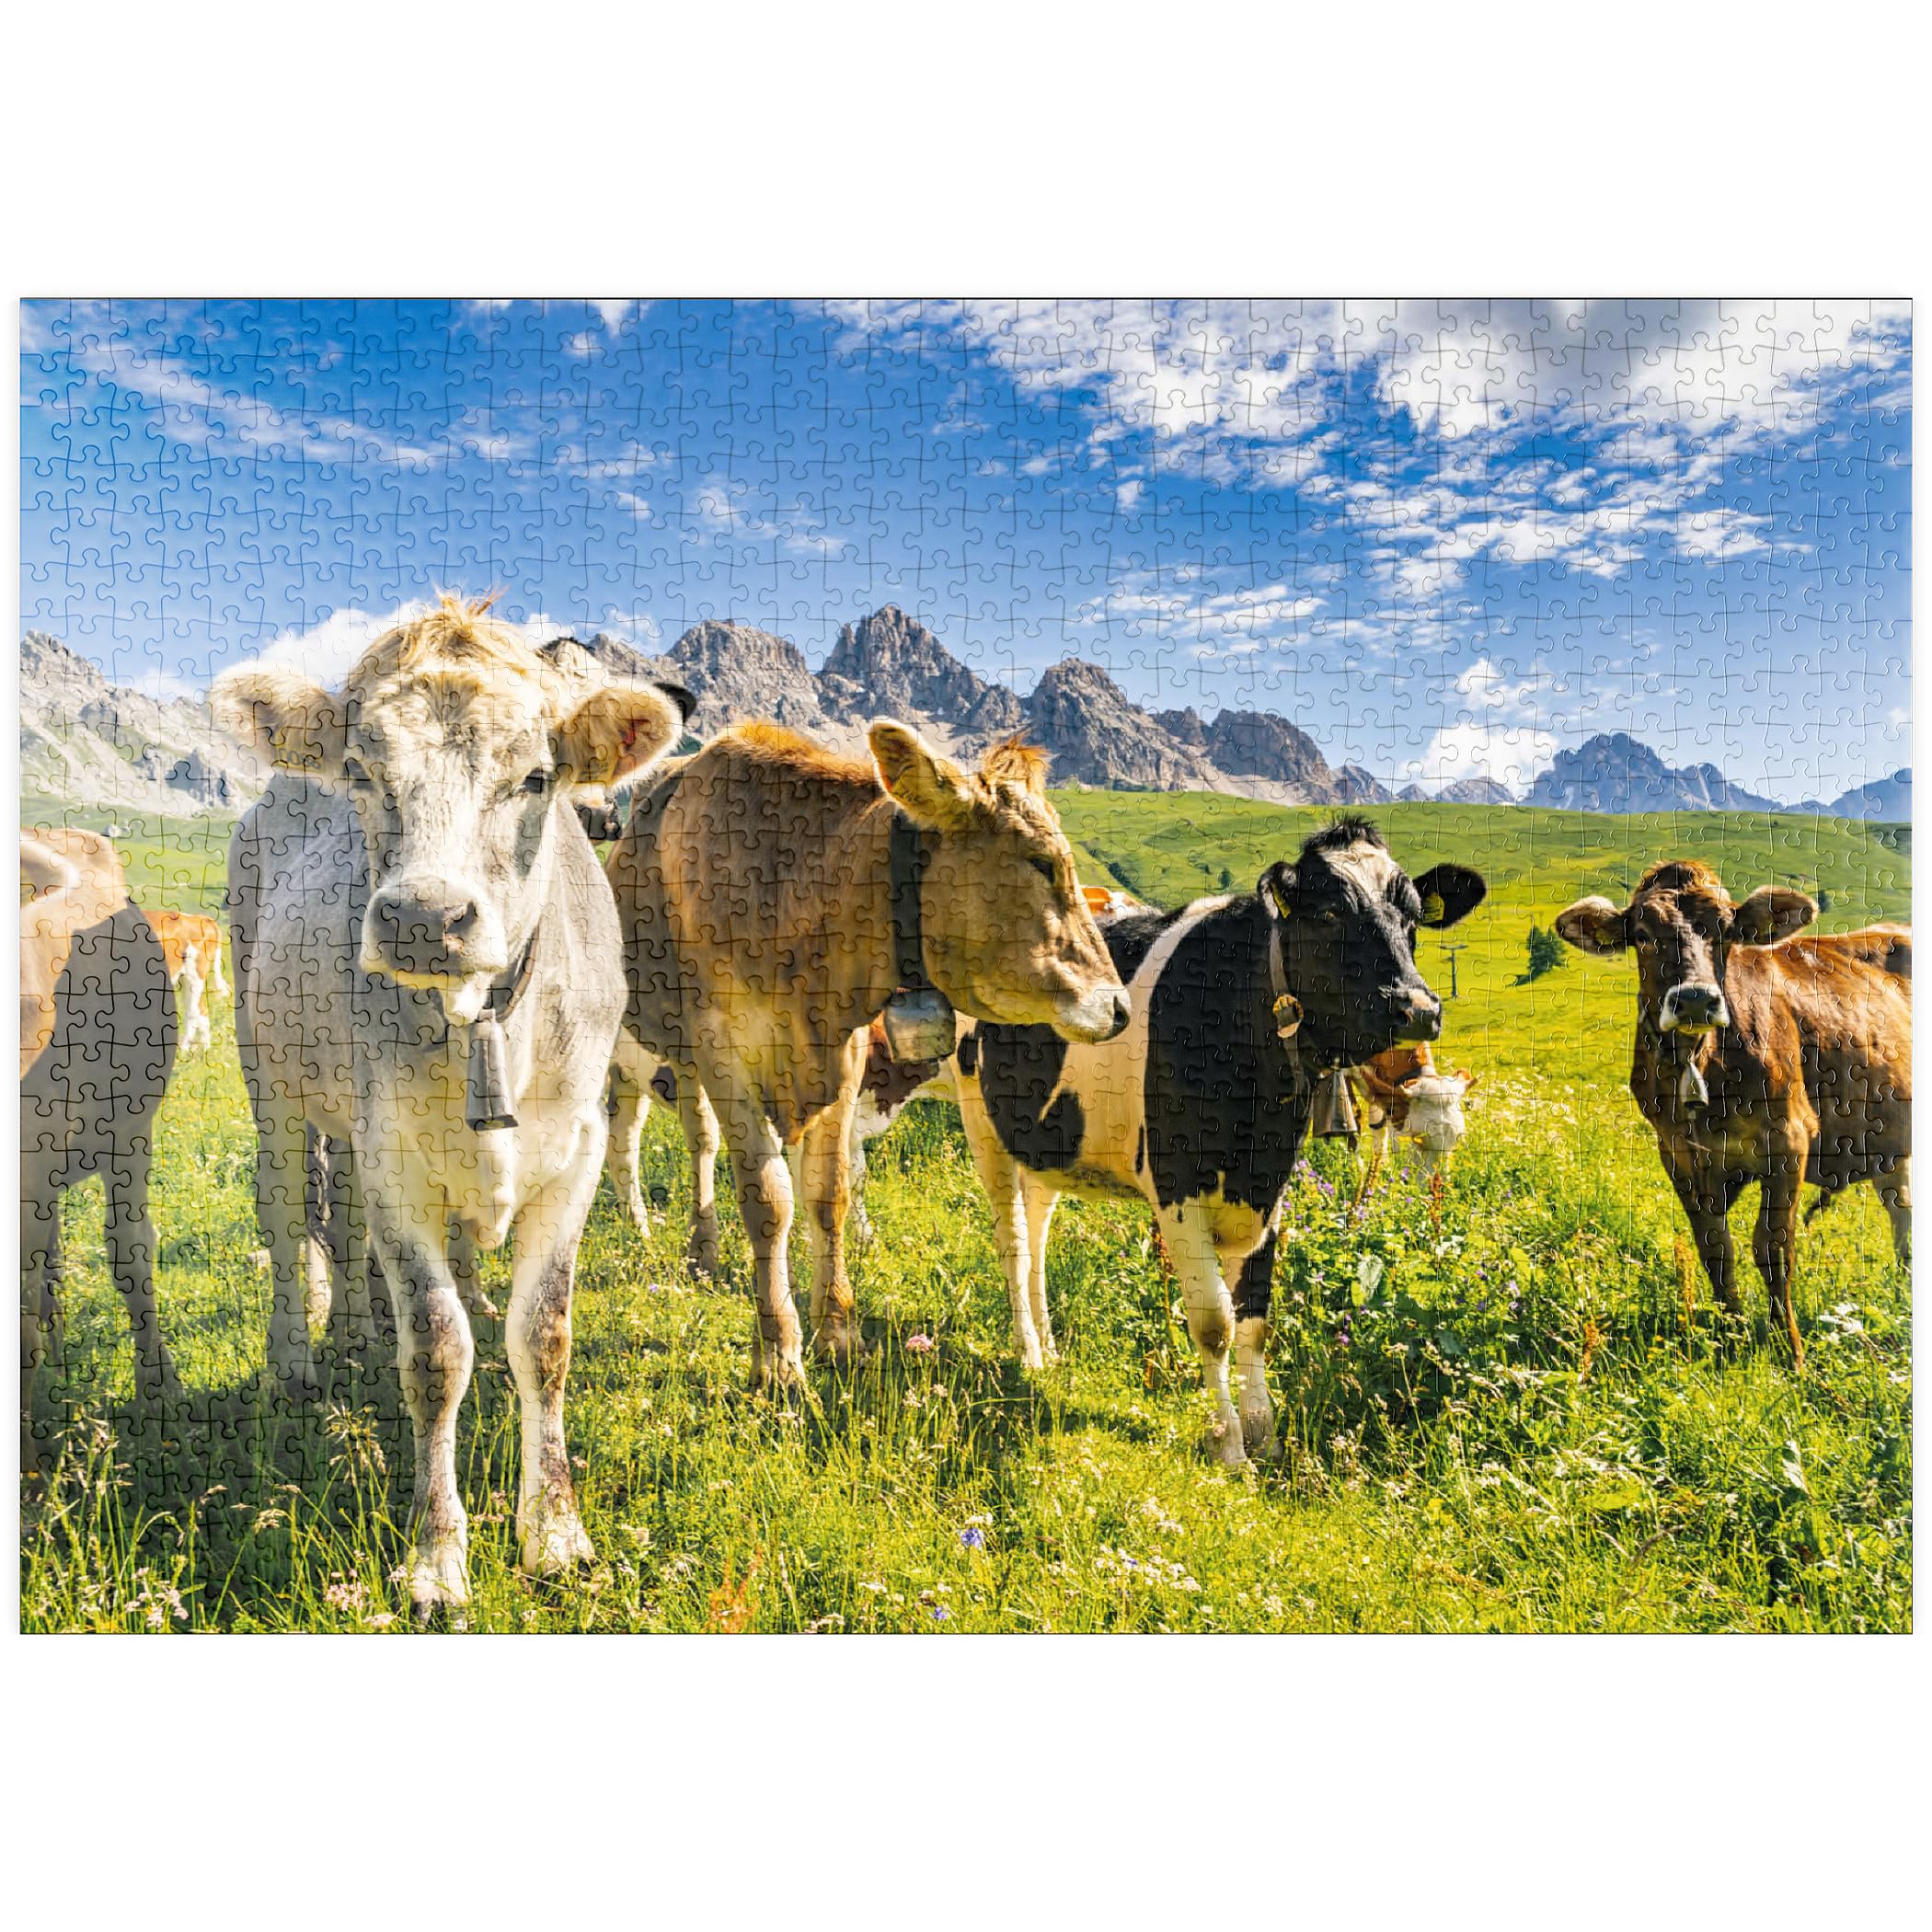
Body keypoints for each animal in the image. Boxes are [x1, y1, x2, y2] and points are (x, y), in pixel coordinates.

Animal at [214, 593, 688, 1617]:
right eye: (361, 769)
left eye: (538, 776)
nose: (425, 919)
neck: (483, 1024)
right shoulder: (399, 1167)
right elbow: (437, 1352)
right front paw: (437, 1559)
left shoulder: (576, 1153)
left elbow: (542, 1337)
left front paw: (556, 1534)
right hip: (266, 1071)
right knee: (287, 1211)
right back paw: (298, 1359)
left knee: (343, 1217)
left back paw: (356, 1332)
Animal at [607, 721, 1130, 1390]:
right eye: (1040, 863)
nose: (1119, 1005)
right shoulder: (722, 1048)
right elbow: (768, 1197)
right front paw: (779, 1353)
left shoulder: (844, 1053)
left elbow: (827, 1194)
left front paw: (837, 1331)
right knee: (644, 1141)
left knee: (700, 1139)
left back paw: (707, 1252)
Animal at [952, 816, 1486, 1464]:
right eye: (1330, 911)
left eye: (1411, 917)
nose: (1419, 1009)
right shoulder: (1176, 1186)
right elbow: (1215, 1323)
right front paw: (1229, 1445)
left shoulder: (1268, 1189)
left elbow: (1256, 1321)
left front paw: (1265, 1433)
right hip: (981, 1122)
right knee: (1013, 1243)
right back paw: (1029, 1352)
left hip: (1046, 1137)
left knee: (1038, 1235)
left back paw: (1051, 1349)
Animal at [1555, 861, 1910, 1363]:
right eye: (1641, 934)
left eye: (1726, 930)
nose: (1695, 999)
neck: (1701, 1065)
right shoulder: (1678, 1153)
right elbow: (1715, 1249)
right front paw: (1731, 1338)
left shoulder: (1789, 1140)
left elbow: (1773, 1248)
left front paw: (1790, 1352)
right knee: (1901, 1210)